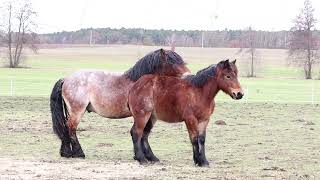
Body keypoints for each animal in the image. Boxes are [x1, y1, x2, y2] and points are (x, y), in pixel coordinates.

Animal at [50, 48, 190, 158]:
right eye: (171, 62)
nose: (188, 75)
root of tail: (66, 79)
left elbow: (144, 133)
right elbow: (141, 133)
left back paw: (66, 152)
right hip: (77, 111)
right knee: (71, 128)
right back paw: (78, 153)